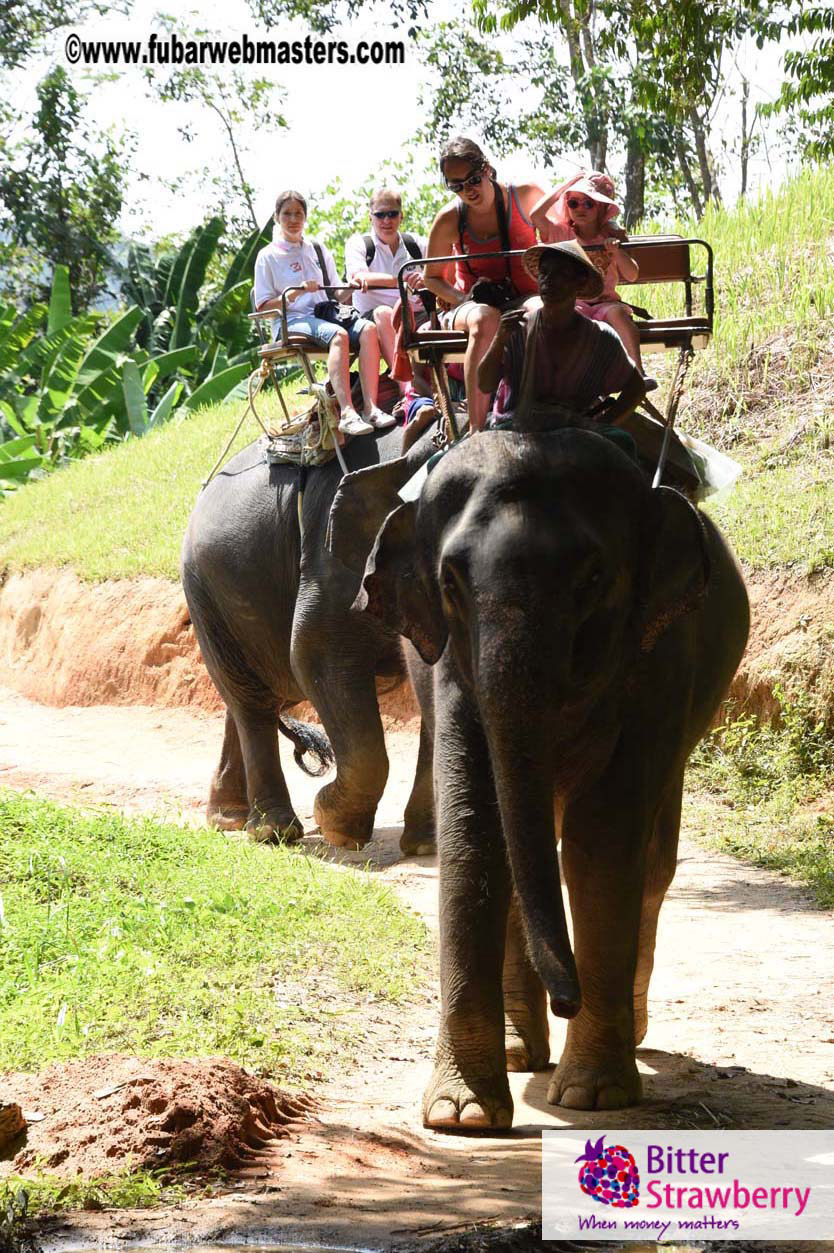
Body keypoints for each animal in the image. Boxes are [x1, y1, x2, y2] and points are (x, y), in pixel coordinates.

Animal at [181, 423, 438, 853]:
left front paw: (423, 845)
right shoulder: (331, 559)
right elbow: (314, 656)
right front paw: (338, 826)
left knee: (258, 697)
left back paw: (229, 817)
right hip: (206, 593)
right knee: (252, 701)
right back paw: (272, 831)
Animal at [333, 426, 749, 1129]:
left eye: (592, 577)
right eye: (450, 581)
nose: (568, 1000)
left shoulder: (659, 664)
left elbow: (602, 843)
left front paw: (593, 1095)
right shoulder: (449, 668)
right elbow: (477, 834)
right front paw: (461, 1115)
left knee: (652, 863)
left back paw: (629, 1032)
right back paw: (519, 1050)